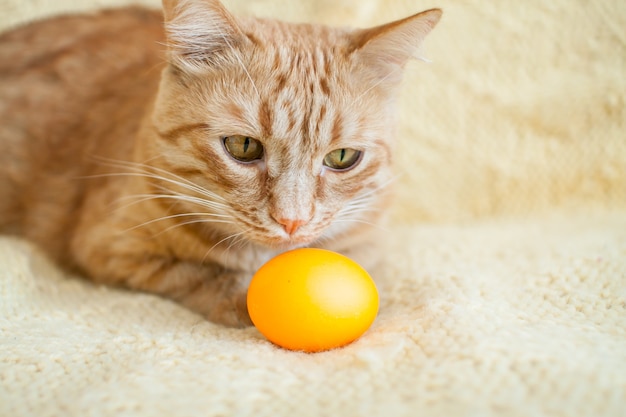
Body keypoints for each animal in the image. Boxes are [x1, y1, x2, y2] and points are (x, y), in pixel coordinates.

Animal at [0, 0, 438, 324]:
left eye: (342, 158)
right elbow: (198, 272)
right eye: (242, 147)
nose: (292, 221)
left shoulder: (367, 241)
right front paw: (241, 297)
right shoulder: (110, 249)